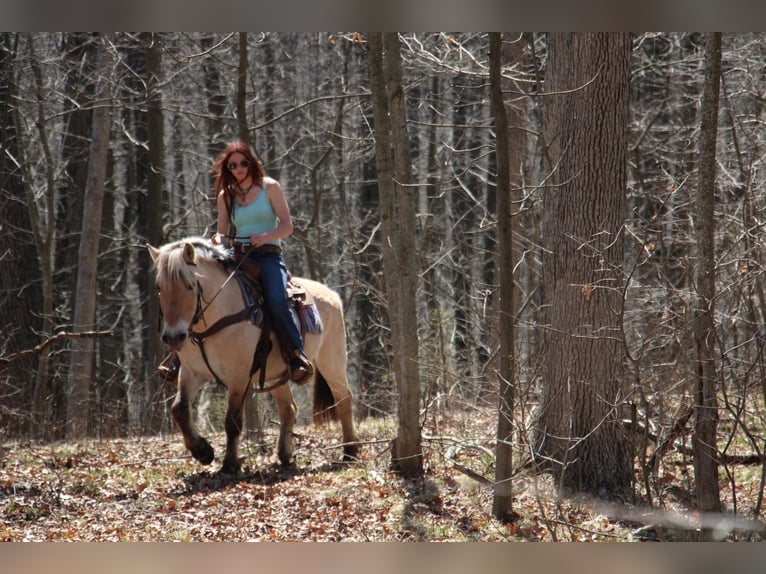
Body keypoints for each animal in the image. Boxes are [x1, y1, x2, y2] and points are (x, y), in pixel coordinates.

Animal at [148, 238, 364, 476]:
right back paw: (283, 456)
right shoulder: (191, 372)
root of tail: (332, 294)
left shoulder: (239, 376)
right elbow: (179, 409)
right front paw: (202, 451)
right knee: (288, 409)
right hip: (277, 374)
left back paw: (350, 451)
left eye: (189, 286)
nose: (173, 337)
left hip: (331, 360)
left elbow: (232, 421)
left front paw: (229, 465)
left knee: (344, 399)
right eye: (159, 288)